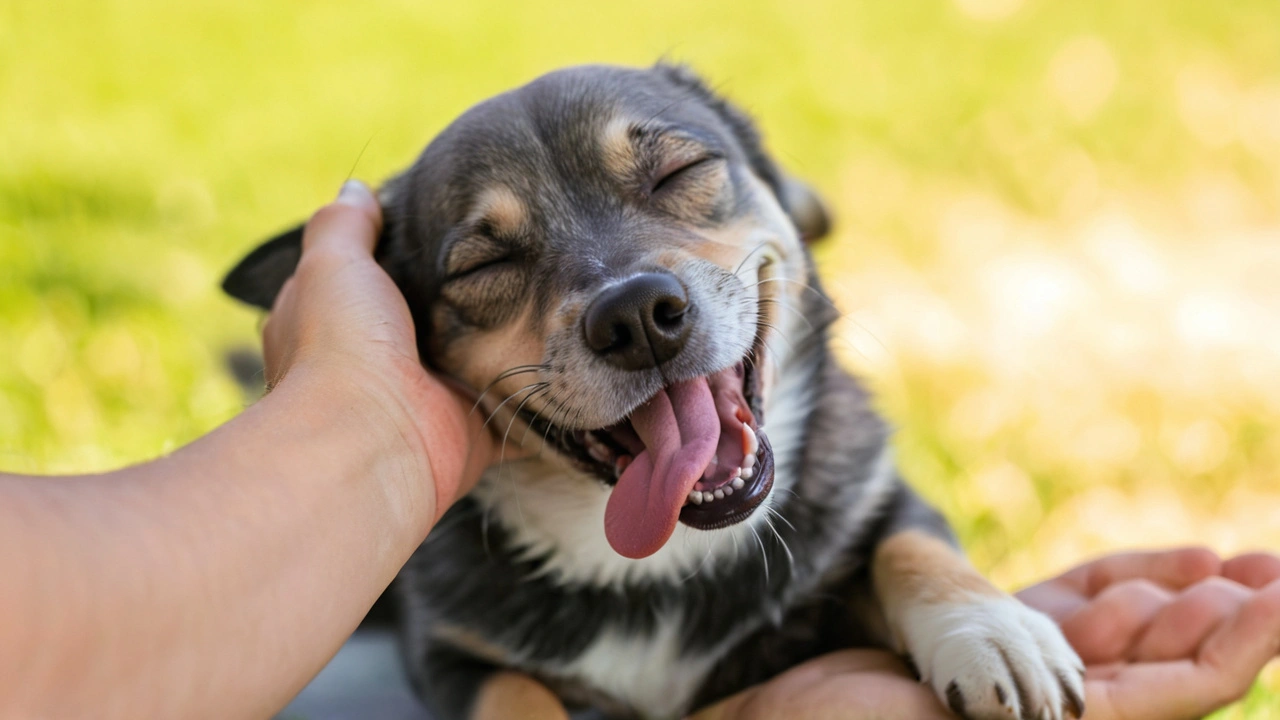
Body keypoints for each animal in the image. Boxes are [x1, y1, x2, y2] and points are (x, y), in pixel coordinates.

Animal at [225, 64, 1085, 712]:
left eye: (681, 171)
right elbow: (513, 694)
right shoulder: (449, 656)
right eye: (483, 264)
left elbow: (910, 542)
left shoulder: (870, 499)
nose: (636, 316)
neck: (656, 565)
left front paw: (991, 631)